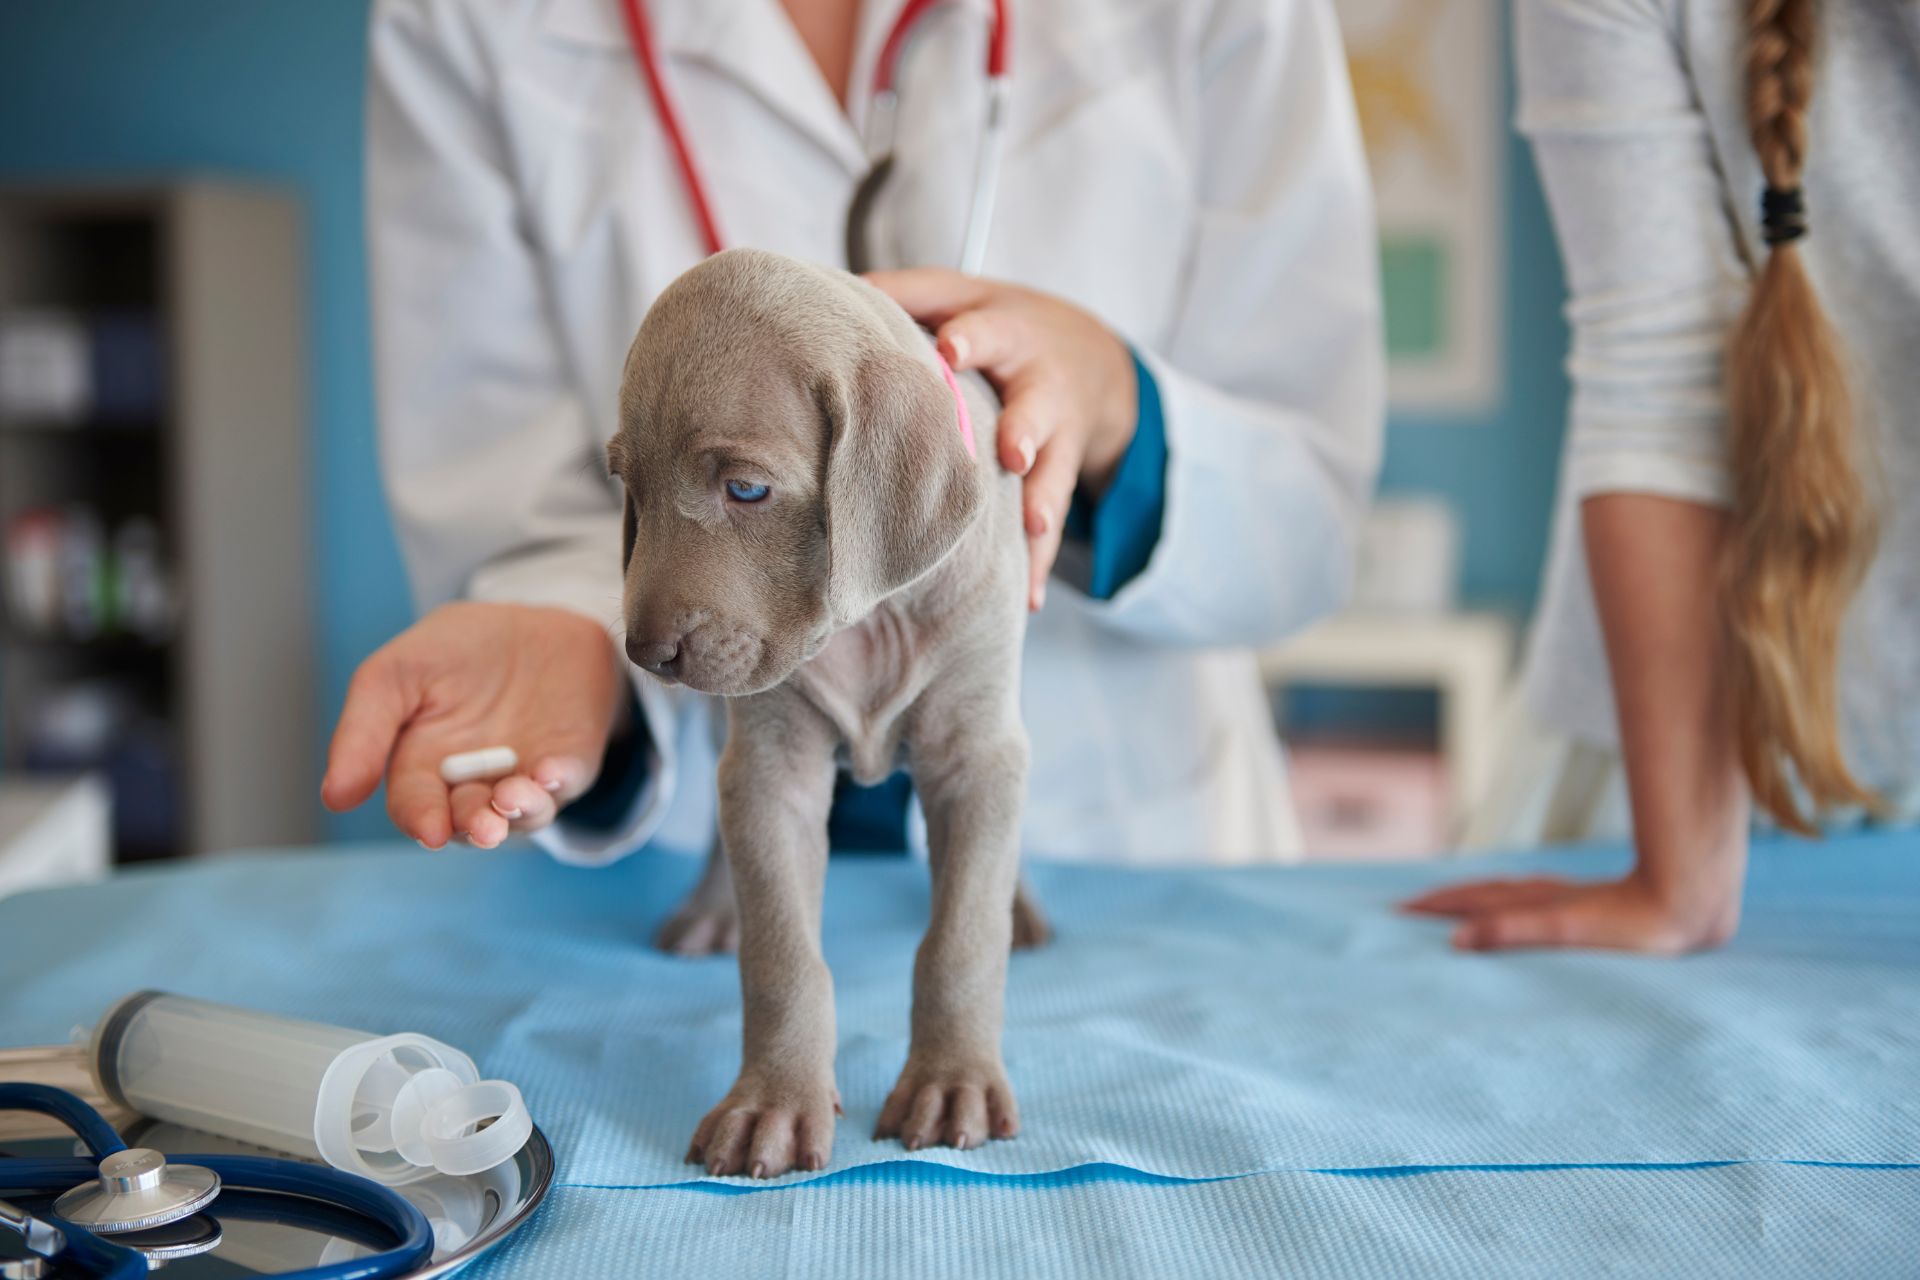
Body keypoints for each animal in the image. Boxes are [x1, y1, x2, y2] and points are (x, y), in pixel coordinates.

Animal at [610, 245, 1036, 1174]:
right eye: (629, 487)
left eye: (745, 489)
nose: (646, 654)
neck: (870, 618)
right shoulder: (773, 769)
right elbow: (782, 956)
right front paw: (770, 1103)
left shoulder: (975, 752)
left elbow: (961, 937)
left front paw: (952, 1081)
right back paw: (709, 911)